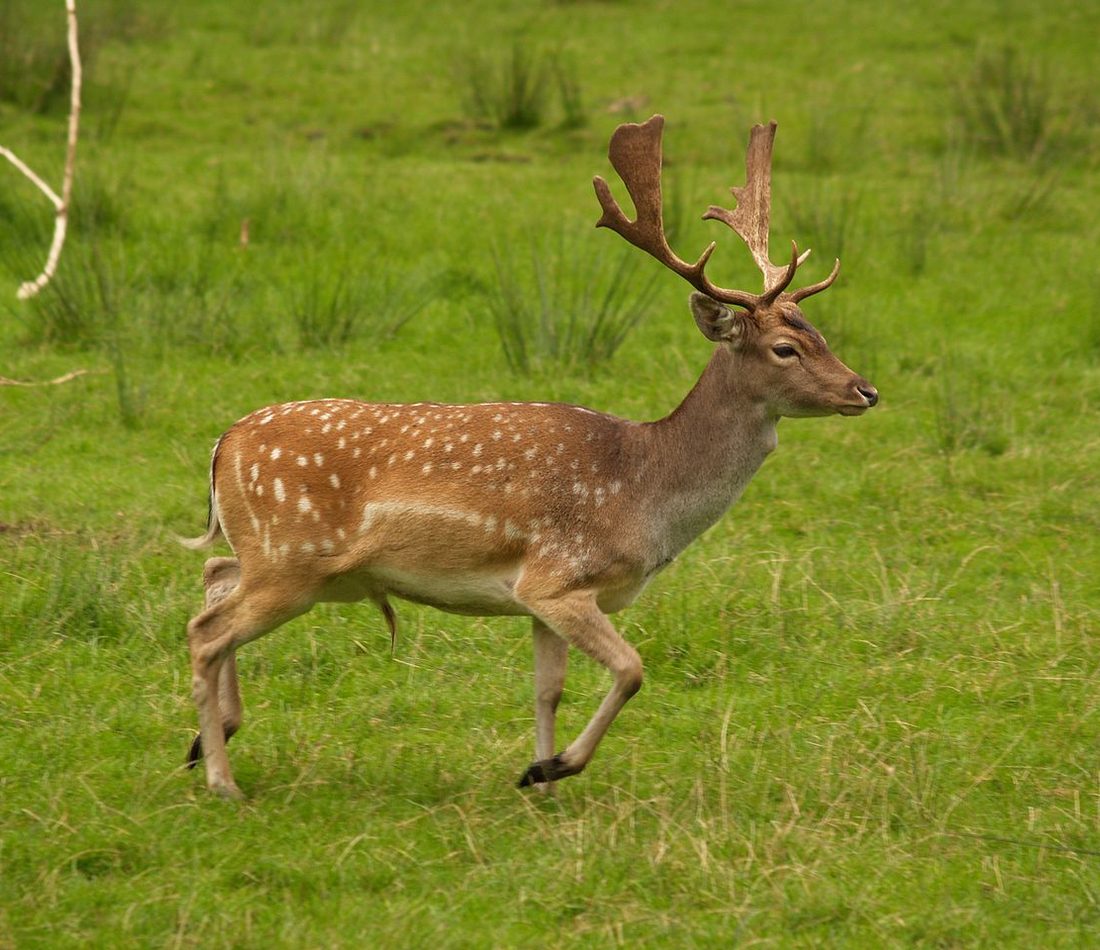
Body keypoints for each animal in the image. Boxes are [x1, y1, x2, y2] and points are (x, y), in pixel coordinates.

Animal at [181, 115, 878, 799]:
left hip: (286, 561)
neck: (644, 492)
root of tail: (222, 443)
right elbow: (631, 670)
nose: (865, 390)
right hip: (291, 559)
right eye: (786, 348)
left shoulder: (541, 599)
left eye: (823, 334)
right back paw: (221, 779)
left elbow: (549, 689)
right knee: (206, 631)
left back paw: (205, 740)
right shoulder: (558, 577)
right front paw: (554, 767)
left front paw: (538, 781)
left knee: (215, 576)